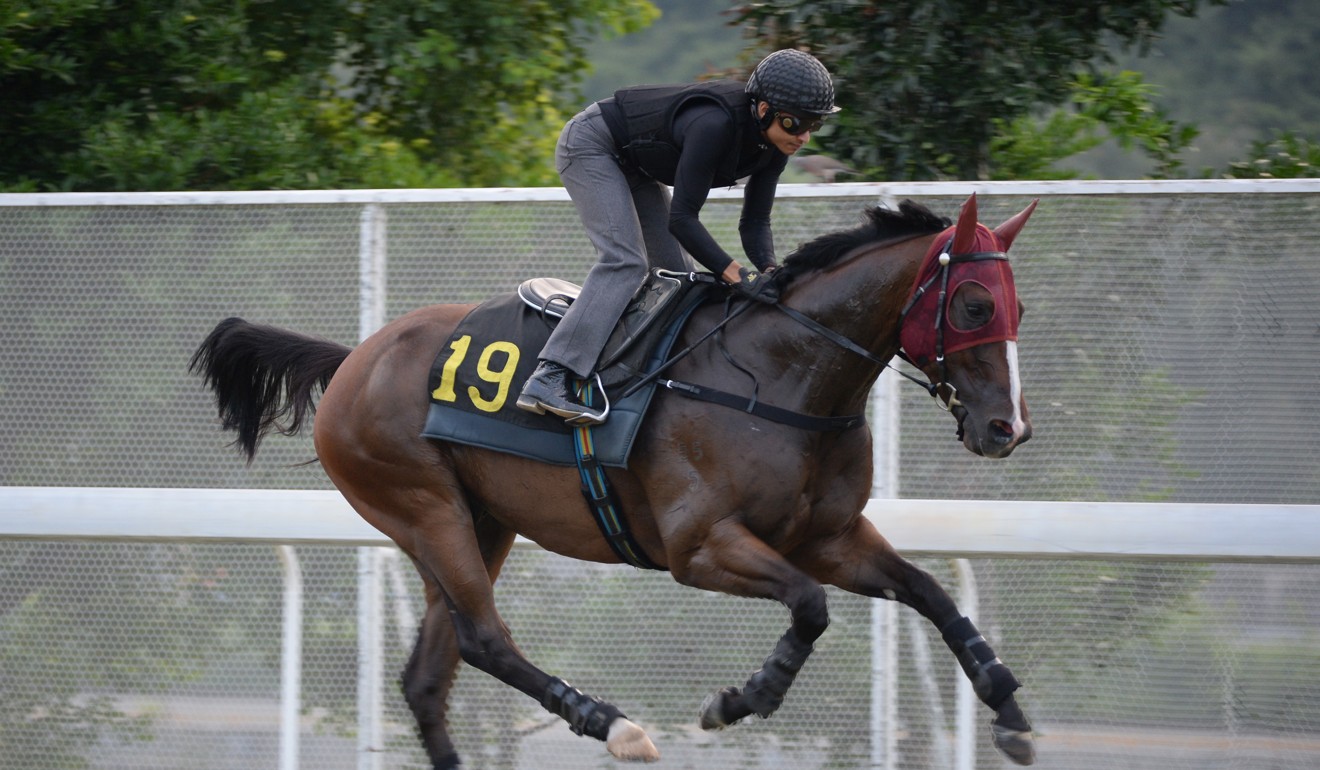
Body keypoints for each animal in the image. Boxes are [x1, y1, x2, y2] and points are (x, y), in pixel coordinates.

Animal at [192, 192, 1040, 766]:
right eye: (972, 305)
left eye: (1018, 308)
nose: (1007, 428)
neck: (780, 377)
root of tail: (351, 361)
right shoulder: (698, 548)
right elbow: (809, 605)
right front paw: (742, 698)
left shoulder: (827, 536)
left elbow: (927, 591)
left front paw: (1007, 705)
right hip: (420, 506)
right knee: (485, 639)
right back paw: (613, 723)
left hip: (480, 520)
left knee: (430, 675)